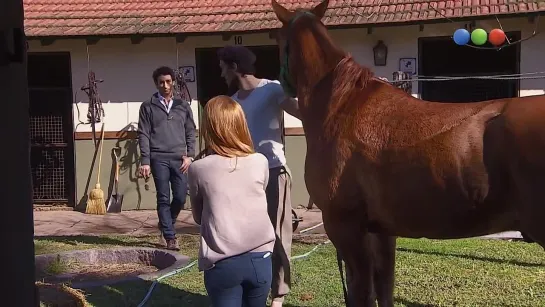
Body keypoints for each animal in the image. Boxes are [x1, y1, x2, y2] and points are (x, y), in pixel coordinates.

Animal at [272, 1, 545, 306]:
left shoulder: (346, 228)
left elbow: (361, 293)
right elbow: (384, 288)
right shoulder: (381, 231)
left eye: (277, 39)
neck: (341, 106)